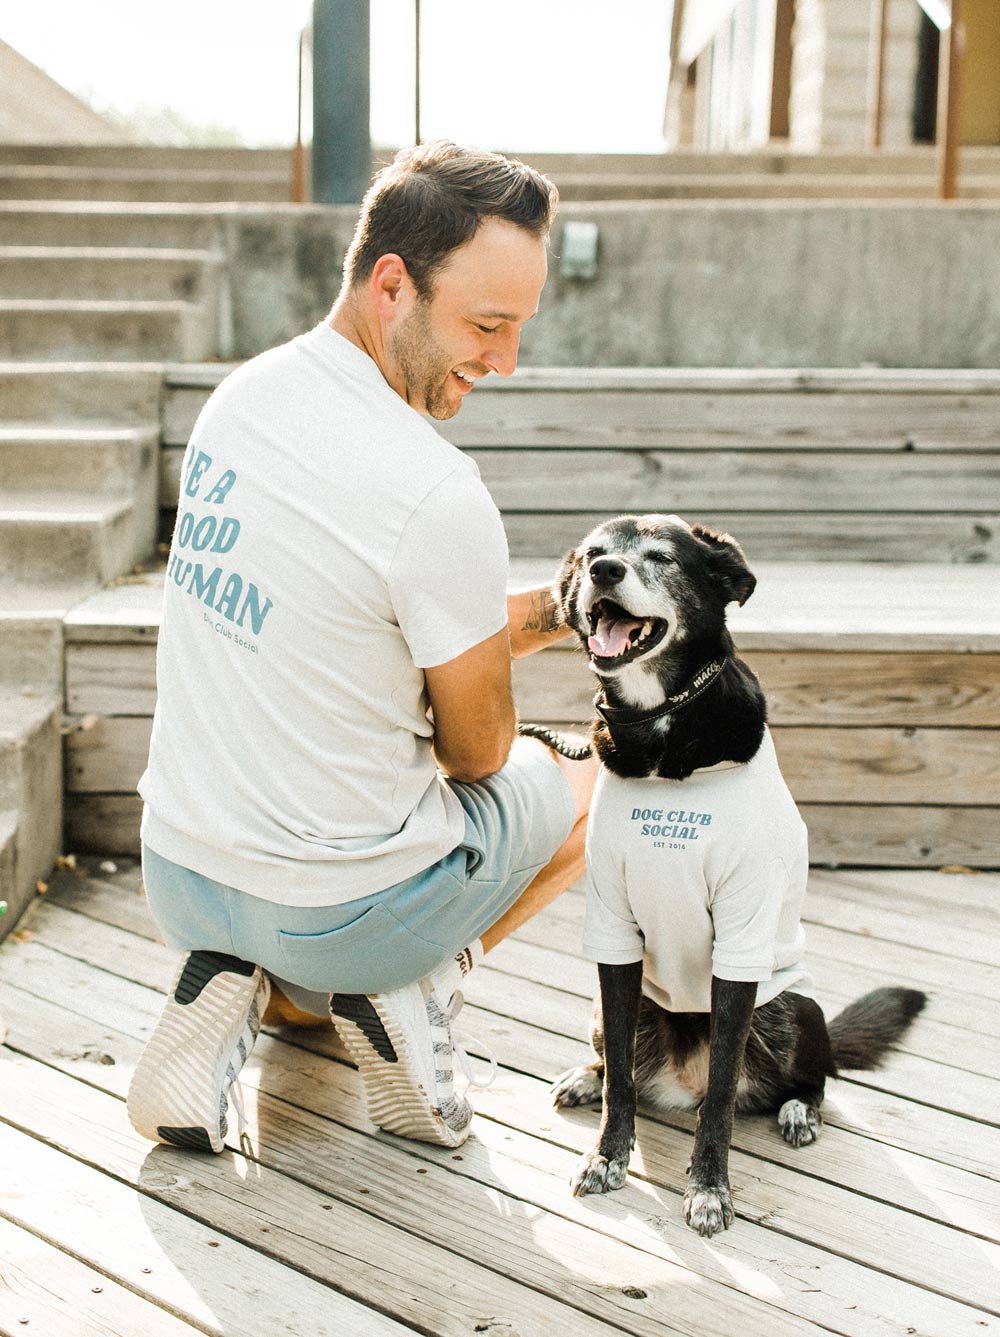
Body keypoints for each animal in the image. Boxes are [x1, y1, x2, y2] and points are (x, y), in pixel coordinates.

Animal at [534, 513, 925, 1240]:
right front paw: (606, 1155)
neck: (661, 730)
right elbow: (623, 1080)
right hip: (612, 1006)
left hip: (790, 1006)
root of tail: (676, 1079)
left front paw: (710, 1188)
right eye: (595, 552)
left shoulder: (741, 941)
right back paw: (588, 1075)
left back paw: (798, 1109)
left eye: (661, 556)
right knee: (623, 1063)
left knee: (812, 1075)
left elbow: (719, 1094)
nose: (604, 571)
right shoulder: (612, 933)